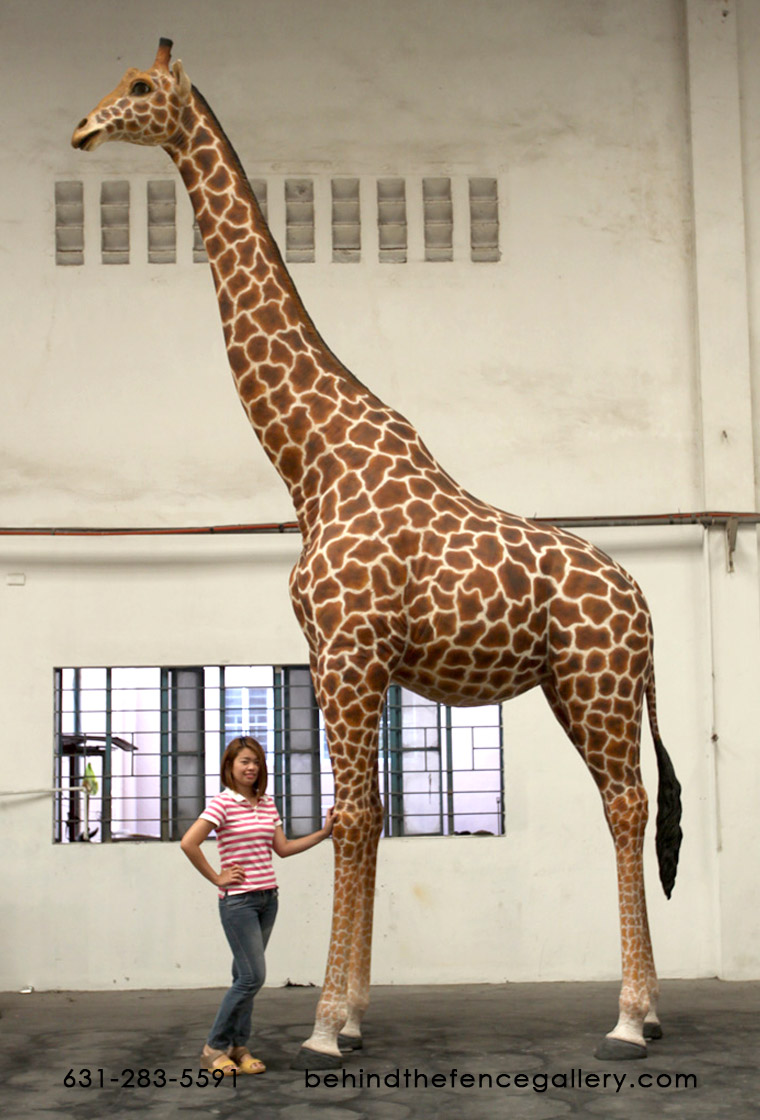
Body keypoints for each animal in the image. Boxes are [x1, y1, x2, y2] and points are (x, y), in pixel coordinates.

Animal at [72, 39, 682, 1066]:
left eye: (141, 88)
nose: (80, 128)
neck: (311, 460)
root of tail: (643, 604)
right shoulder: (338, 654)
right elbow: (368, 816)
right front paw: (352, 1016)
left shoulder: (350, 649)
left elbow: (354, 813)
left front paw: (324, 1028)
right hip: (576, 687)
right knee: (626, 803)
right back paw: (650, 1010)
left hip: (595, 684)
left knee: (627, 804)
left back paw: (630, 1019)